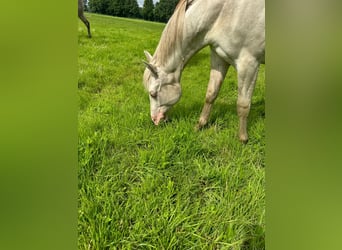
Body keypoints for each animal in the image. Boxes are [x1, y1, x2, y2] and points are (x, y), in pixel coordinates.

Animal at [143, 0, 266, 143]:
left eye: (153, 94)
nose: (155, 120)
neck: (225, 13)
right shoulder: (219, 58)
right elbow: (211, 94)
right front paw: (200, 125)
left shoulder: (249, 64)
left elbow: (243, 104)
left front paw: (243, 139)